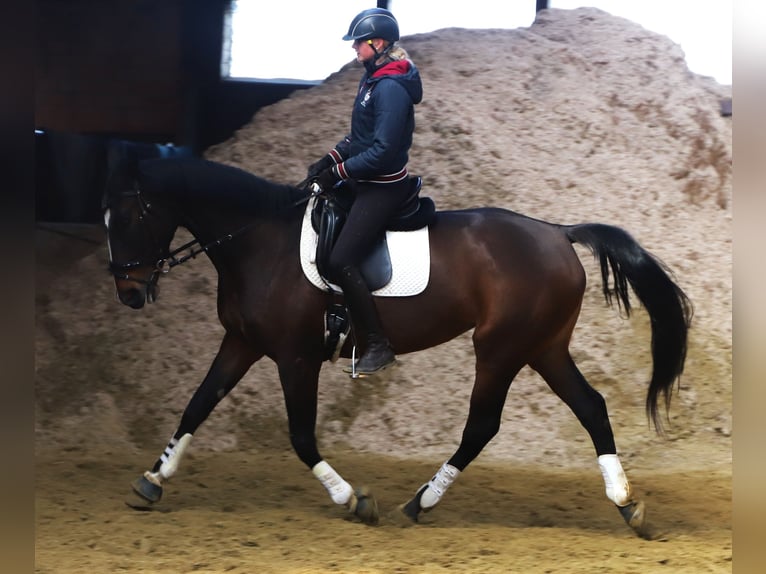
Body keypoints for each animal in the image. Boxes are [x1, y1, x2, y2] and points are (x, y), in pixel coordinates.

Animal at [102, 152, 692, 537]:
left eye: (129, 216)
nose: (128, 293)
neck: (259, 242)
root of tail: (558, 232)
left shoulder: (295, 357)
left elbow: (300, 436)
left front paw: (353, 499)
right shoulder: (241, 342)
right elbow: (197, 405)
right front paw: (152, 480)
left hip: (501, 347)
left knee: (483, 424)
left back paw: (422, 501)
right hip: (543, 346)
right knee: (590, 407)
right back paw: (626, 504)